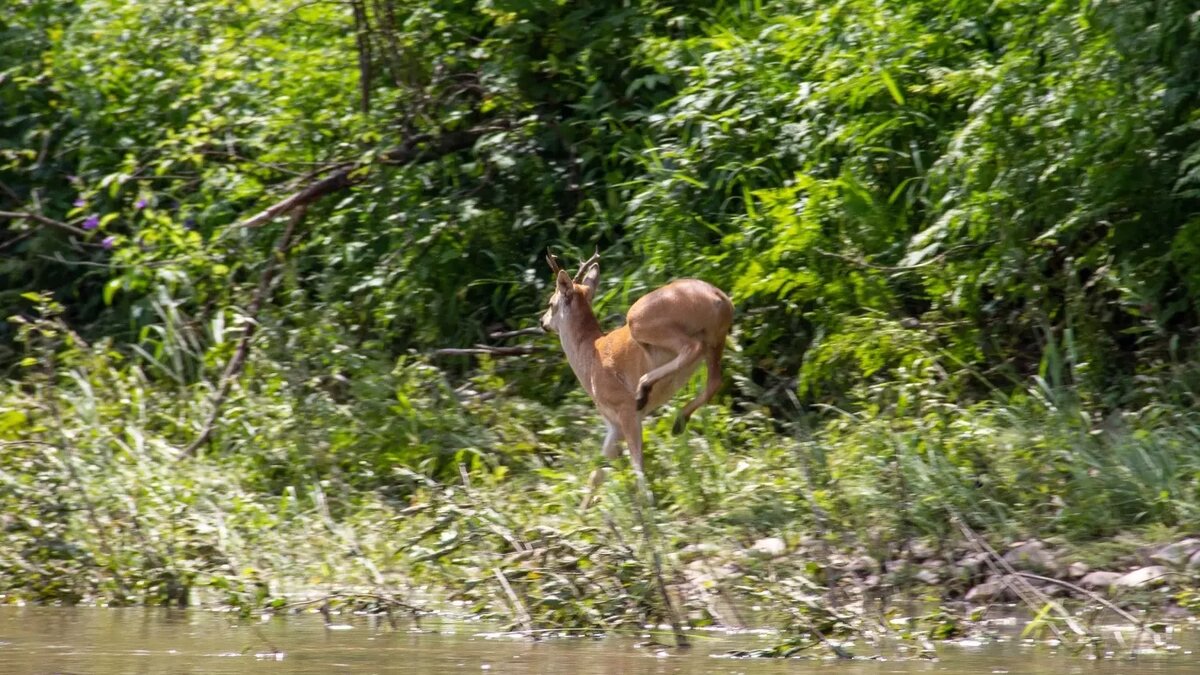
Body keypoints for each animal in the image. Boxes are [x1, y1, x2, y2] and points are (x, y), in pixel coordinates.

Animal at [542, 249, 729, 497]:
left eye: (551, 303)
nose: (542, 322)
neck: (590, 356)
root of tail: (720, 299)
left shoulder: (624, 410)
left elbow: (636, 463)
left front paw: (647, 501)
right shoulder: (613, 424)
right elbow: (599, 468)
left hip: (639, 320)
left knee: (692, 348)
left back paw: (644, 390)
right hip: (716, 340)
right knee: (715, 380)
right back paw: (679, 421)